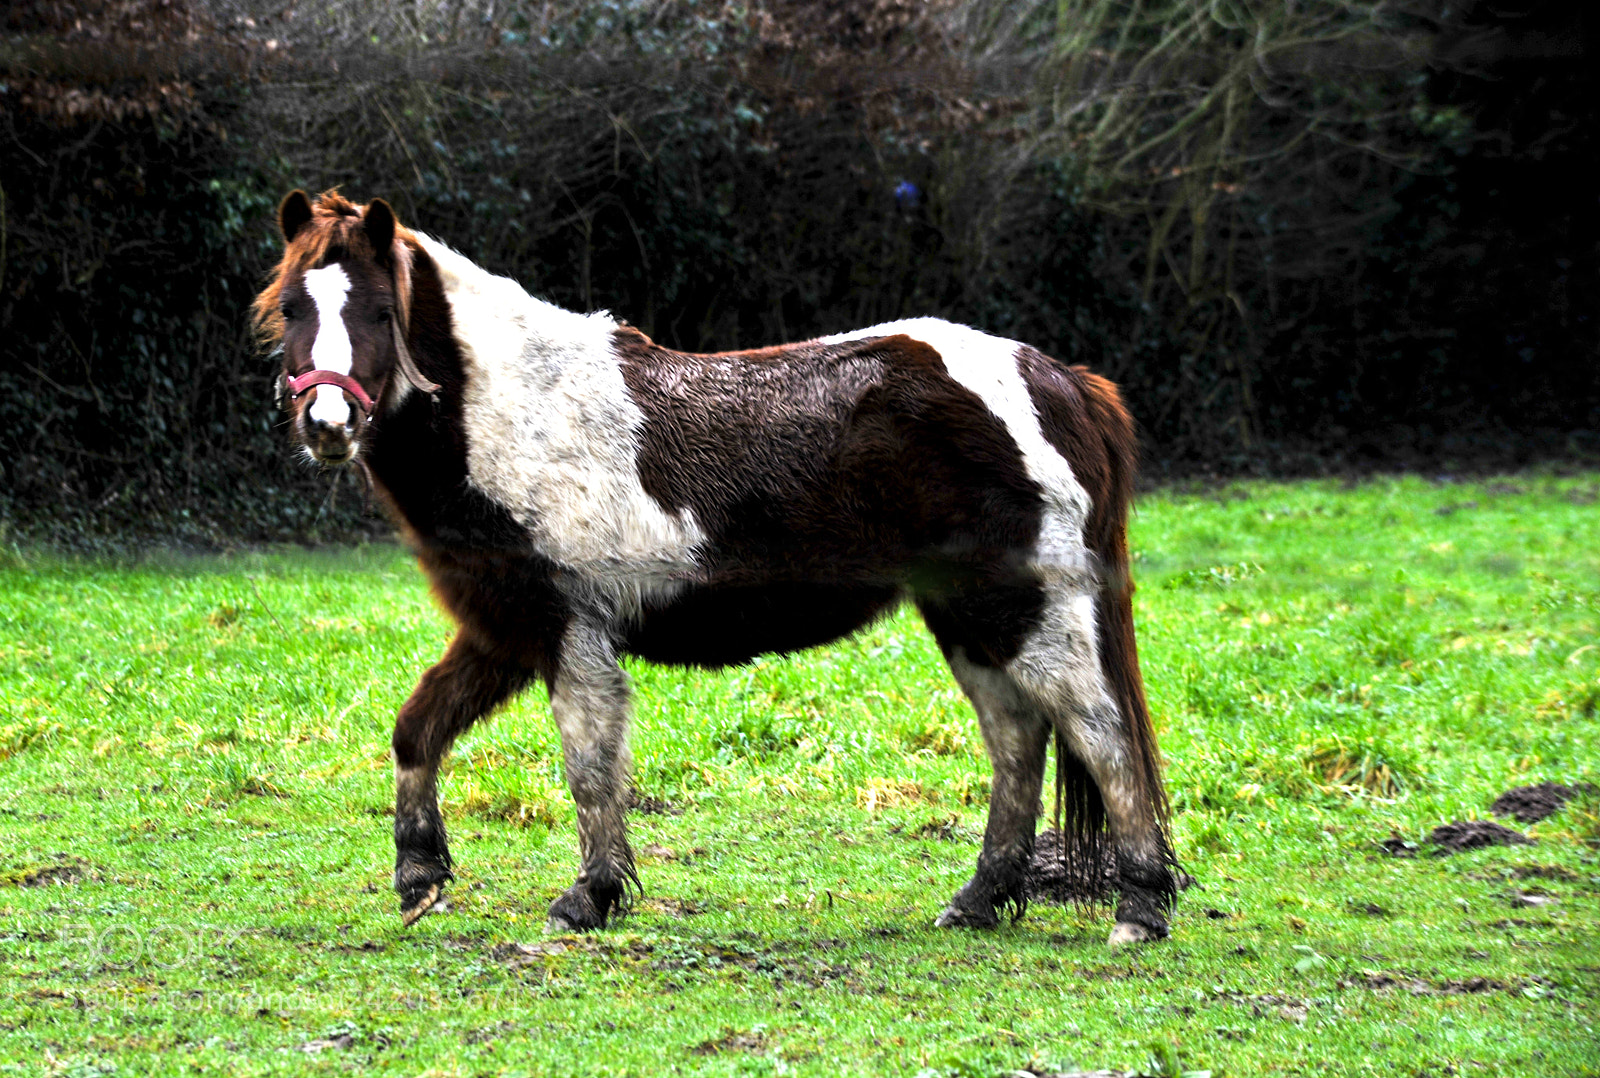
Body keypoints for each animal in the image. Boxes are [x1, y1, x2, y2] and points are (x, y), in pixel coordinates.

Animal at [252, 189, 1179, 946]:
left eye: (379, 310)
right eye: (293, 306)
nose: (327, 424)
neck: (518, 411)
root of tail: (1060, 379)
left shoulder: (569, 634)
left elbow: (589, 769)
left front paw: (588, 898)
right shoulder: (507, 628)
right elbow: (418, 728)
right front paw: (419, 876)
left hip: (1025, 610)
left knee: (1101, 733)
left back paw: (1140, 908)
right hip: (967, 618)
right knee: (1019, 741)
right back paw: (981, 900)